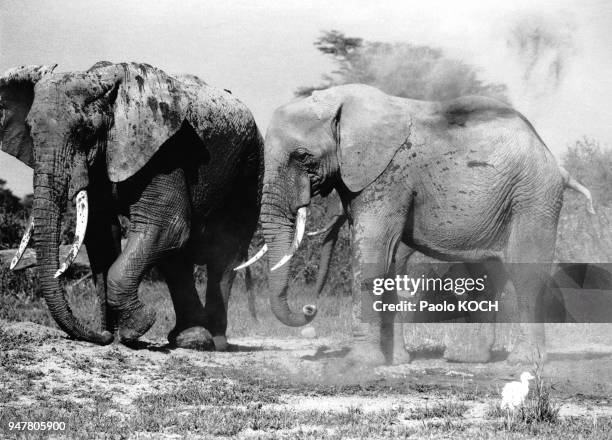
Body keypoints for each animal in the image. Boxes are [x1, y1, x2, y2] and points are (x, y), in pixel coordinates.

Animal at [2, 62, 266, 350]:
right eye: (30, 130)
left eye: (84, 131)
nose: (101, 336)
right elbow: (102, 235)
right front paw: (115, 335)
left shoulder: (163, 152)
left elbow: (167, 225)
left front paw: (137, 328)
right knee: (177, 259)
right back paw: (190, 338)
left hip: (251, 166)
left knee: (225, 253)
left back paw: (214, 342)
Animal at [243, 82, 592, 364]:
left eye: (303, 156)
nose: (309, 308)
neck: (343, 101)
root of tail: (556, 164)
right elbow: (388, 259)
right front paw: (395, 362)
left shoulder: (390, 175)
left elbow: (373, 252)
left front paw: (360, 363)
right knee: (489, 271)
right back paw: (468, 360)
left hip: (533, 196)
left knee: (525, 272)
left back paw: (524, 362)